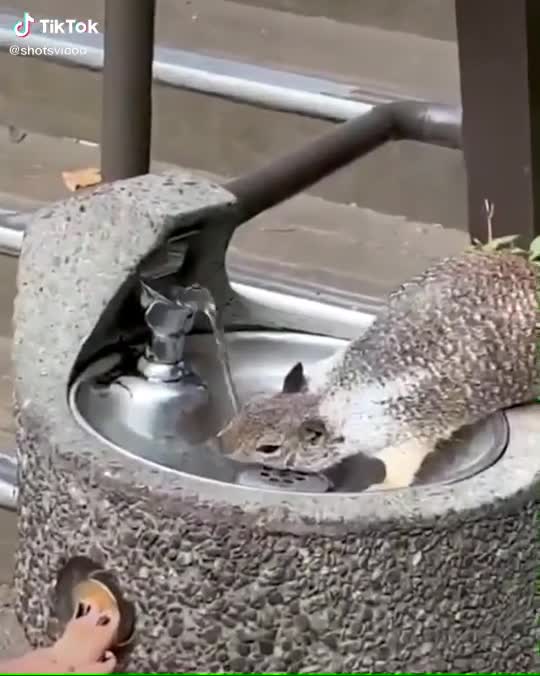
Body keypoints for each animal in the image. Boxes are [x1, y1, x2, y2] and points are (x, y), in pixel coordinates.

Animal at [218, 238, 540, 490]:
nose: (220, 443)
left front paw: (379, 487)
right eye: (248, 407)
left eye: (268, 448)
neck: (333, 394)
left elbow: (401, 471)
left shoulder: (406, 434)